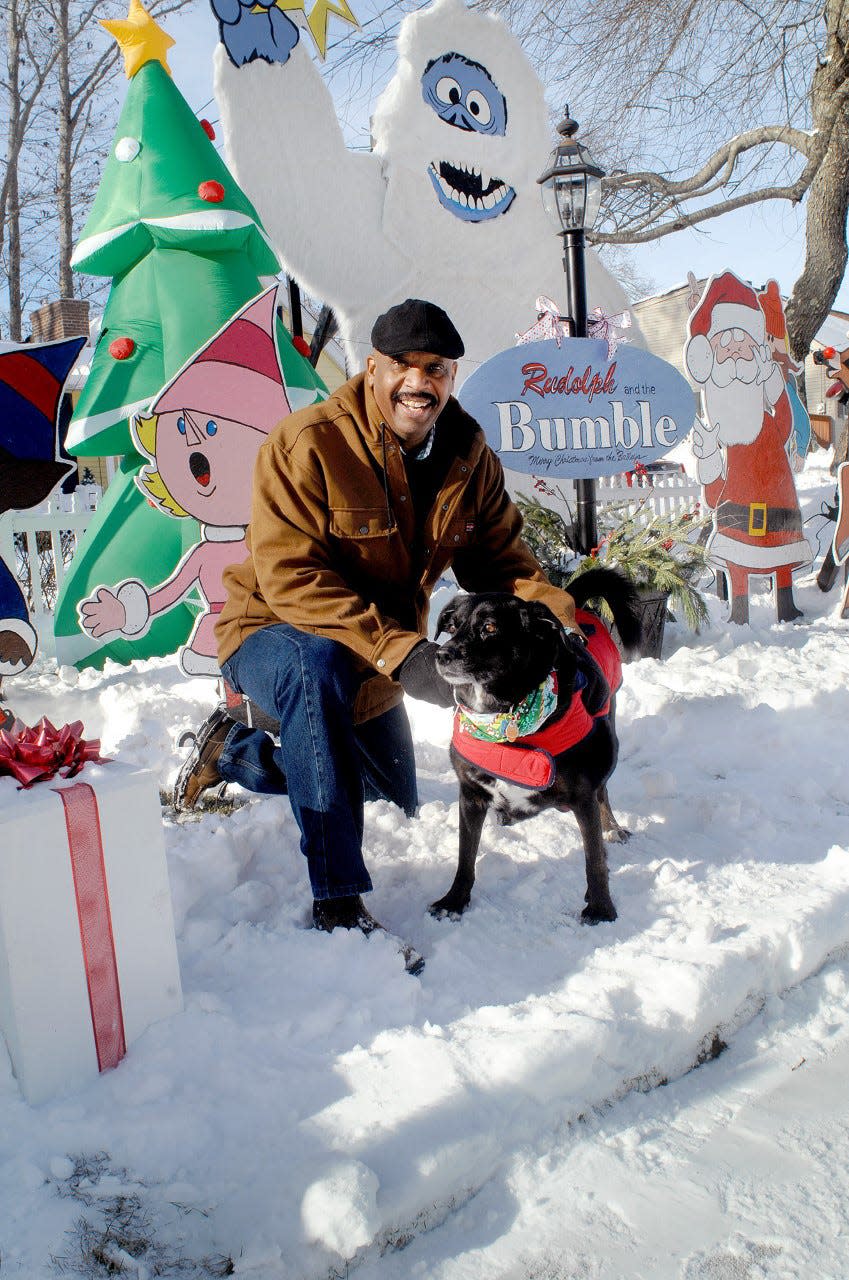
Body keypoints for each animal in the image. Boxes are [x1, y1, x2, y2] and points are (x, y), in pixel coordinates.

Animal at [435, 570, 640, 921]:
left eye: (490, 628)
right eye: (453, 626)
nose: (442, 655)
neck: (507, 721)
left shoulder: (582, 796)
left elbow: (594, 860)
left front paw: (601, 908)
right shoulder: (471, 794)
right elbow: (465, 857)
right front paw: (454, 901)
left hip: (606, 745)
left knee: (604, 792)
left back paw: (612, 827)